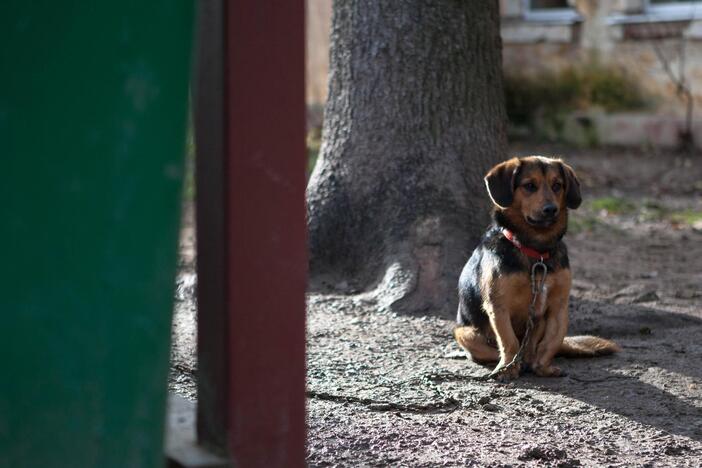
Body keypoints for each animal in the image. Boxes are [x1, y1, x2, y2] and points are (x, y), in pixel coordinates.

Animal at [454, 155, 620, 382]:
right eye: (529, 186)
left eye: (557, 185)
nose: (551, 209)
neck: (536, 251)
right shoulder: (498, 305)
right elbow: (509, 341)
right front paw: (507, 369)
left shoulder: (559, 306)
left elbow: (551, 342)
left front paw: (543, 367)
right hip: (464, 333)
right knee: (498, 350)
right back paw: (512, 364)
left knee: (534, 349)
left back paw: (529, 362)